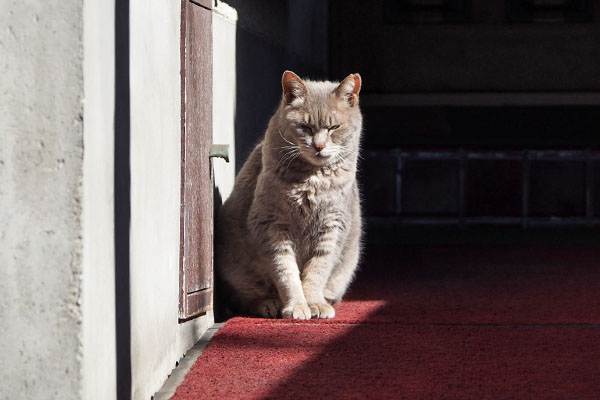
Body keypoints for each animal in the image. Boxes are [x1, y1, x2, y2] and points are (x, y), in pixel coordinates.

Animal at [218, 69, 364, 318]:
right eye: (305, 127)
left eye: (334, 128)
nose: (319, 146)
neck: (312, 180)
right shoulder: (271, 224)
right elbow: (285, 272)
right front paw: (296, 306)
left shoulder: (333, 226)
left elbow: (318, 270)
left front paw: (314, 303)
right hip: (238, 270)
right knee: (247, 297)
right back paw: (270, 304)